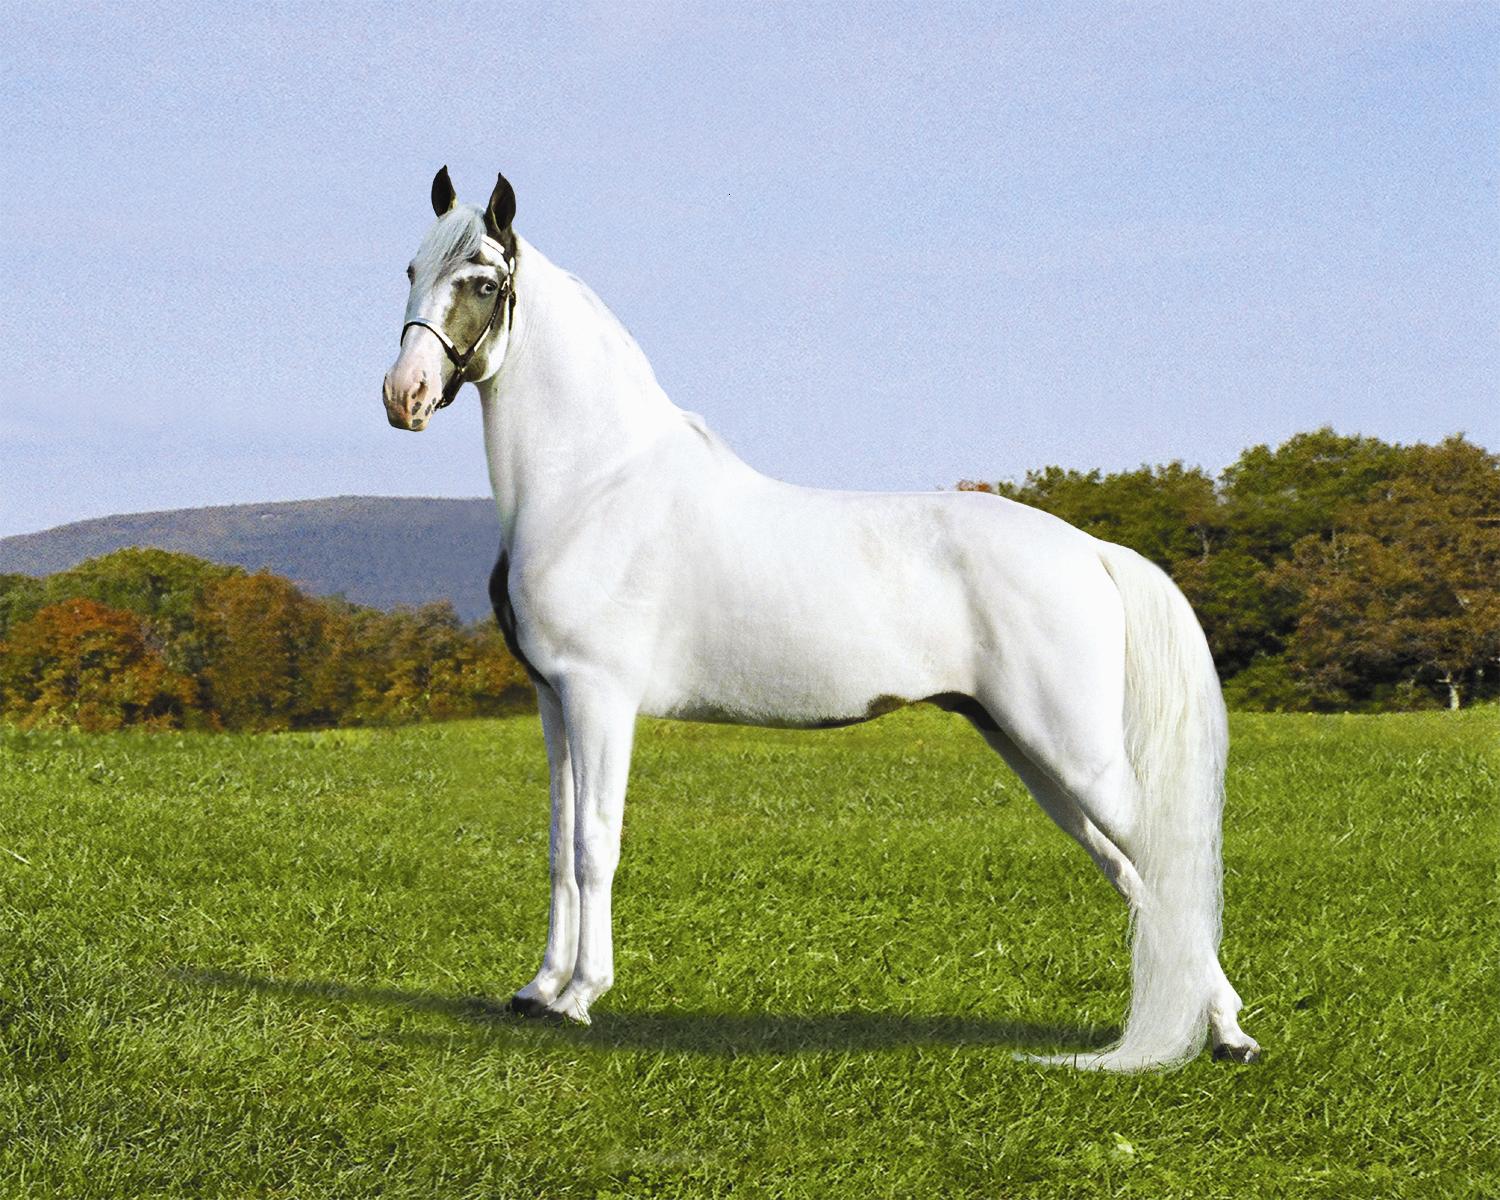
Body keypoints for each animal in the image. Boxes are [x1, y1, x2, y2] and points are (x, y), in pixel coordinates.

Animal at [381, 166, 1260, 1071]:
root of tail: (1091, 550)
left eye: (483, 282)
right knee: (1134, 872)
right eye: (410, 270)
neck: (596, 485)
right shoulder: (554, 701)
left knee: (1163, 862)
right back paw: (1218, 1028)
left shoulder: (600, 700)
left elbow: (596, 844)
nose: (403, 396)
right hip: (1033, 754)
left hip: (1074, 751)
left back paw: (1229, 1031)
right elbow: (559, 843)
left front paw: (583, 995)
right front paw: (540, 990)